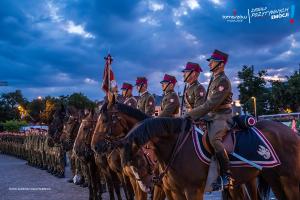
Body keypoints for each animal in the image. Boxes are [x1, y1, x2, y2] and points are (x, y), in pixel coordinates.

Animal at [116, 117, 300, 200]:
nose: (145, 186)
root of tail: (291, 132)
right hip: (273, 179)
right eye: (128, 164)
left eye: (138, 158)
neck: (177, 146)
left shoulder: (193, 191)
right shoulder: (174, 192)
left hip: (290, 181)